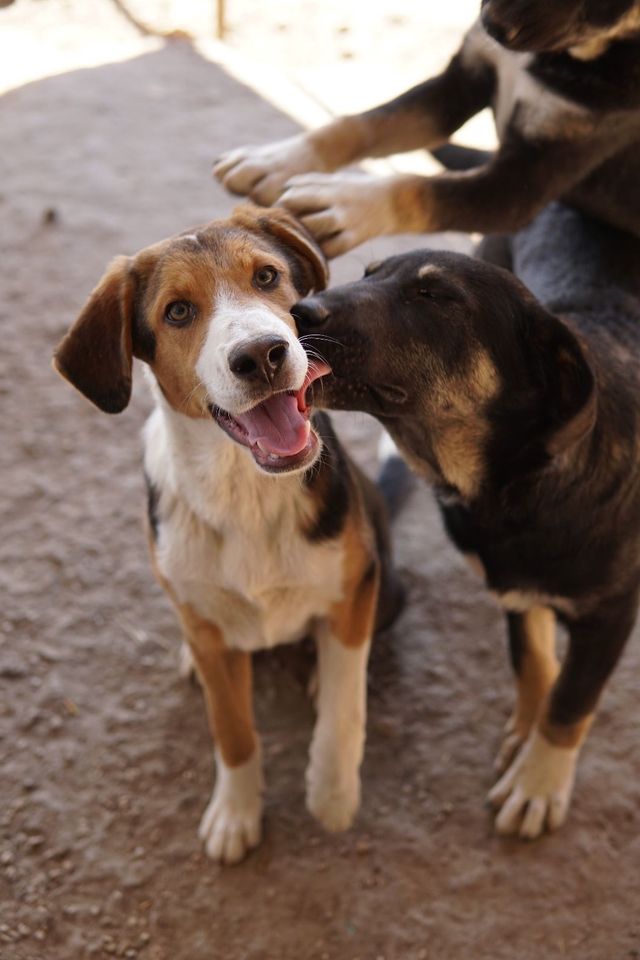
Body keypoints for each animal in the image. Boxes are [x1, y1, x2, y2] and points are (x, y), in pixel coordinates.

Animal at [214, 0, 640, 255]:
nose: (494, 25)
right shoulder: (459, 84)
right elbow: (363, 123)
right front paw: (275, 160)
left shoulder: (521, 186)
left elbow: (420, 189)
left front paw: (343, 202)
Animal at [292, 204, 640, 840]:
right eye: (370, 272)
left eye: (434, 295)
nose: (299, 313)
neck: (518, 487)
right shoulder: (512, 586)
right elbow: (531, 662)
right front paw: (525, 735)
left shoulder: (611, 615)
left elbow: (571, 702)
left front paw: (538, 783)